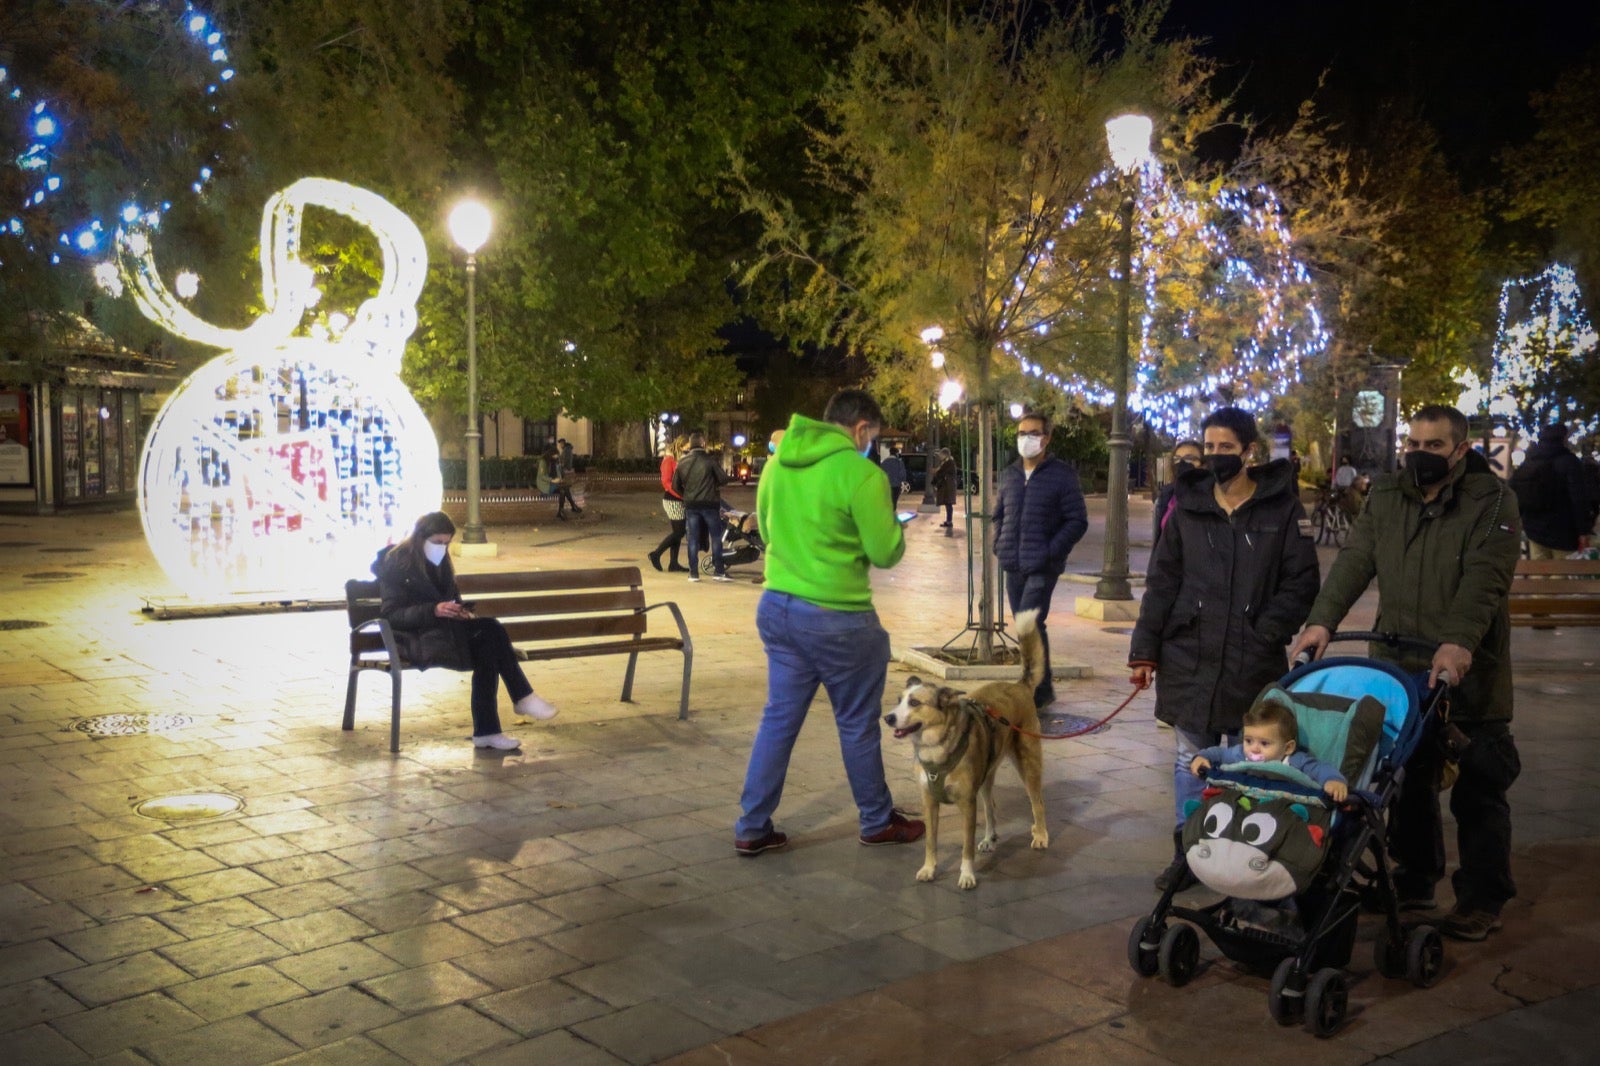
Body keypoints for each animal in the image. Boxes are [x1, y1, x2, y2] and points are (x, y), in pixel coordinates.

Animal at [876, 611, 1049, 883]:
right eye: (899, 700)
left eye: (914, 703)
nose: (888, 718)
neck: (935, 747)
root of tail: (1018, 685)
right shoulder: (929, 802)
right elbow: (931, 841)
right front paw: (929, 868)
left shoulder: (967, 805)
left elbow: (966, 846)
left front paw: (967, 875)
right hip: (986, 777)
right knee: (991, 807)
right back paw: (989, 839)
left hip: (1028, 764)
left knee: (1037, 802)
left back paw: (1041, 835)